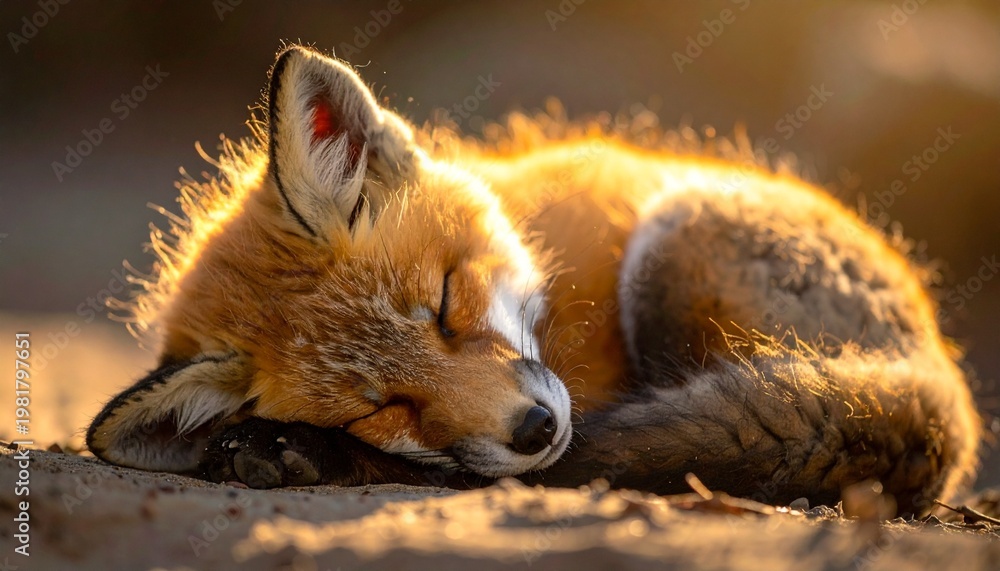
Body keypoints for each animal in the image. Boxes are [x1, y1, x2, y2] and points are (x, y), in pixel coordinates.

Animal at [87, 45, 980, 515]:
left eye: (446, 303)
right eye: (381, 406)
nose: (534, 429)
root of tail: (939, 369)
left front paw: (297, 448)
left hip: (673, 244)